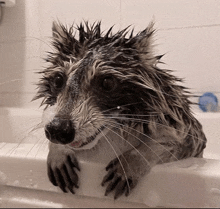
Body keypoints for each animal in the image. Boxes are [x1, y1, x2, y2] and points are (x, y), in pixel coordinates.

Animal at [33, 20, 207, 199]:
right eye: (58, 80)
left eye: (107, 83)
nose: (58, 130)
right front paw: (58, 152)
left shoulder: (180, 122)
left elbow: (178, 142)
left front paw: (130, 164)